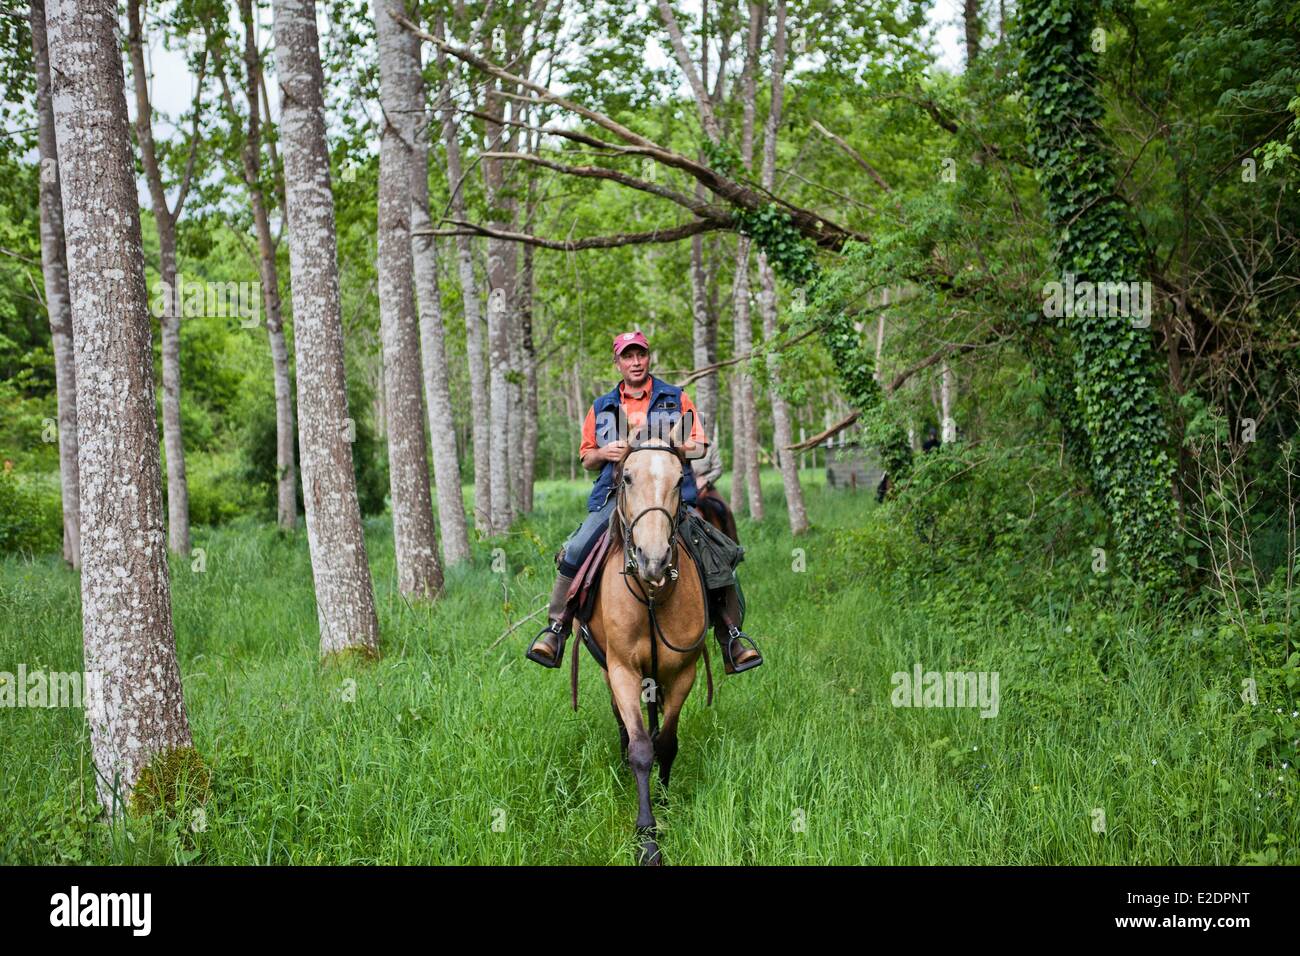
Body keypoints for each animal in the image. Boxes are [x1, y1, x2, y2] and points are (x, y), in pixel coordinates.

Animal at [587, 429, 712, 863]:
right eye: (626, 477)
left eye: (678, 480)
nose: (653, 560)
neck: (653, 594)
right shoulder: (622, 669)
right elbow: (642, 747)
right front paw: (647, 838)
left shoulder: (682, 672)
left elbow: (667, 743)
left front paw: (664, 798)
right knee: (623, 721)